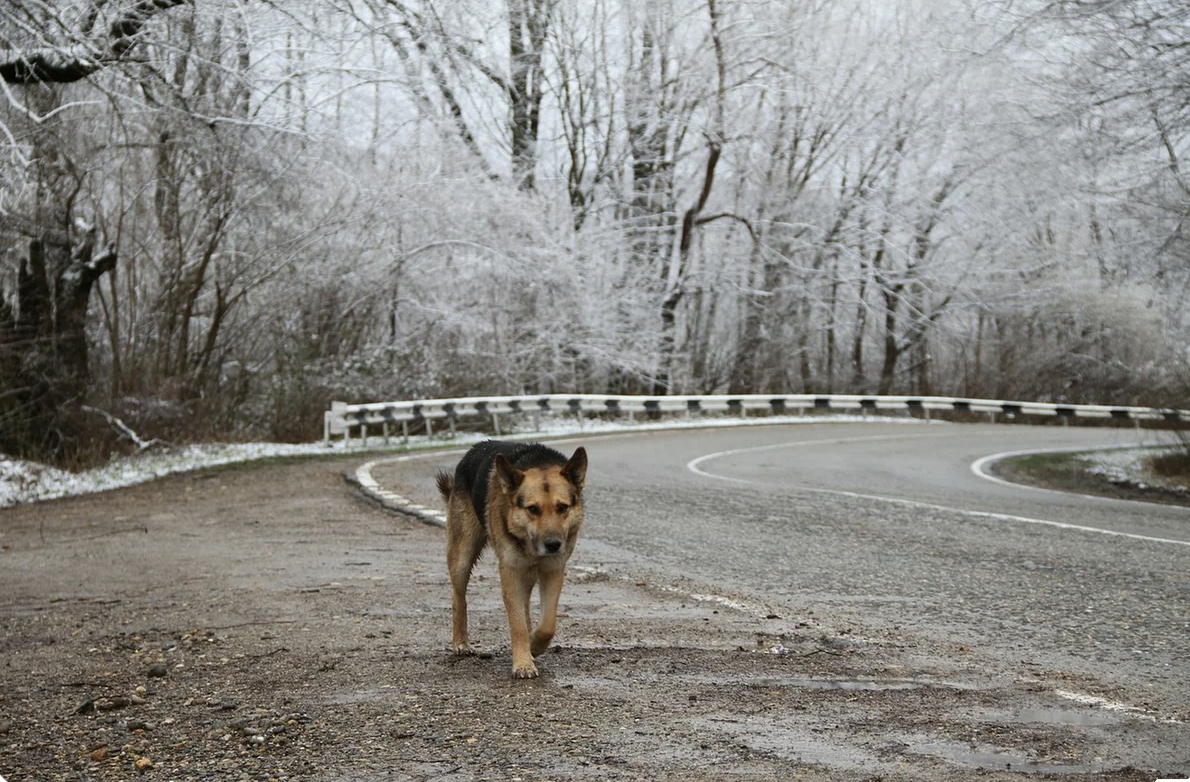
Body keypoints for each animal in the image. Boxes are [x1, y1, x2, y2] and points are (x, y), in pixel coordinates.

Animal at [435, 438, 587, 676]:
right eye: (532, 509)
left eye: (562, 507)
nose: (553, 545)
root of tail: (475, 447)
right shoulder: (510, 572)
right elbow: (517, 624)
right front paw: (523, 663)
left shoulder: (553, 570)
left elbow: (547, 624)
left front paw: (534, 645)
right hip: (462, 558)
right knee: (458, 598)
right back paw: (460, 642)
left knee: (525, 607)